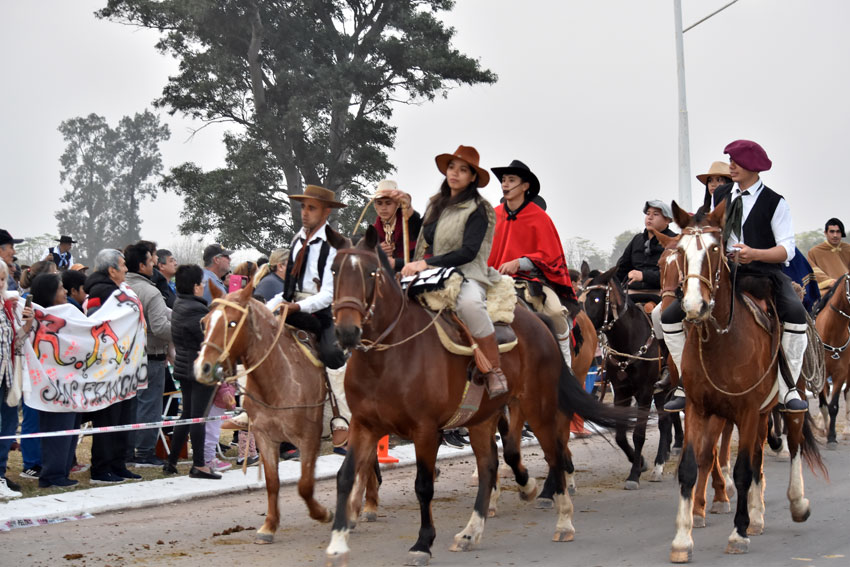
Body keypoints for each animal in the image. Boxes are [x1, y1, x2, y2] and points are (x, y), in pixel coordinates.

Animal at [195, 284, 334, 544]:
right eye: (204, 322)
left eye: (232, 323)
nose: (203, 368)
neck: (279, 379)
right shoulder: (264, 437)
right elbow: (272, 482)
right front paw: (269, 526)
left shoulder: (310, 437)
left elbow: (305, 485)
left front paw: (323, 514)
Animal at [324, 226, 628, 567]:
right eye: (333, 270)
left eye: (371, 272)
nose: (346, 332)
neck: (388, 357)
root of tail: (540, 324)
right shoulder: (364, 425)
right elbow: (345, 477)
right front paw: (338, 543)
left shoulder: (425, 430)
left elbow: (424, 485)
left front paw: (422, 542)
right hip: (484, 418)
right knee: (489, 466)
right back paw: (472, 531)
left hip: (537, 406)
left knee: (554, 453)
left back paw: (562, 518)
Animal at [664, 202, 824, 560]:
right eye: (680, 251)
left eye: (714, 249)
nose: (694, 305)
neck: (721, 340)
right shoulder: (698, 409)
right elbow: (690, 468)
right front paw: (682, 540)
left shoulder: (747, 410)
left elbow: (740, 470)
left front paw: (737, 534)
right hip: (762, 413)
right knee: (758, 458)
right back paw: (757, 516)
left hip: (788, 401)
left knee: (793, 442)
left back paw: (797, 503)